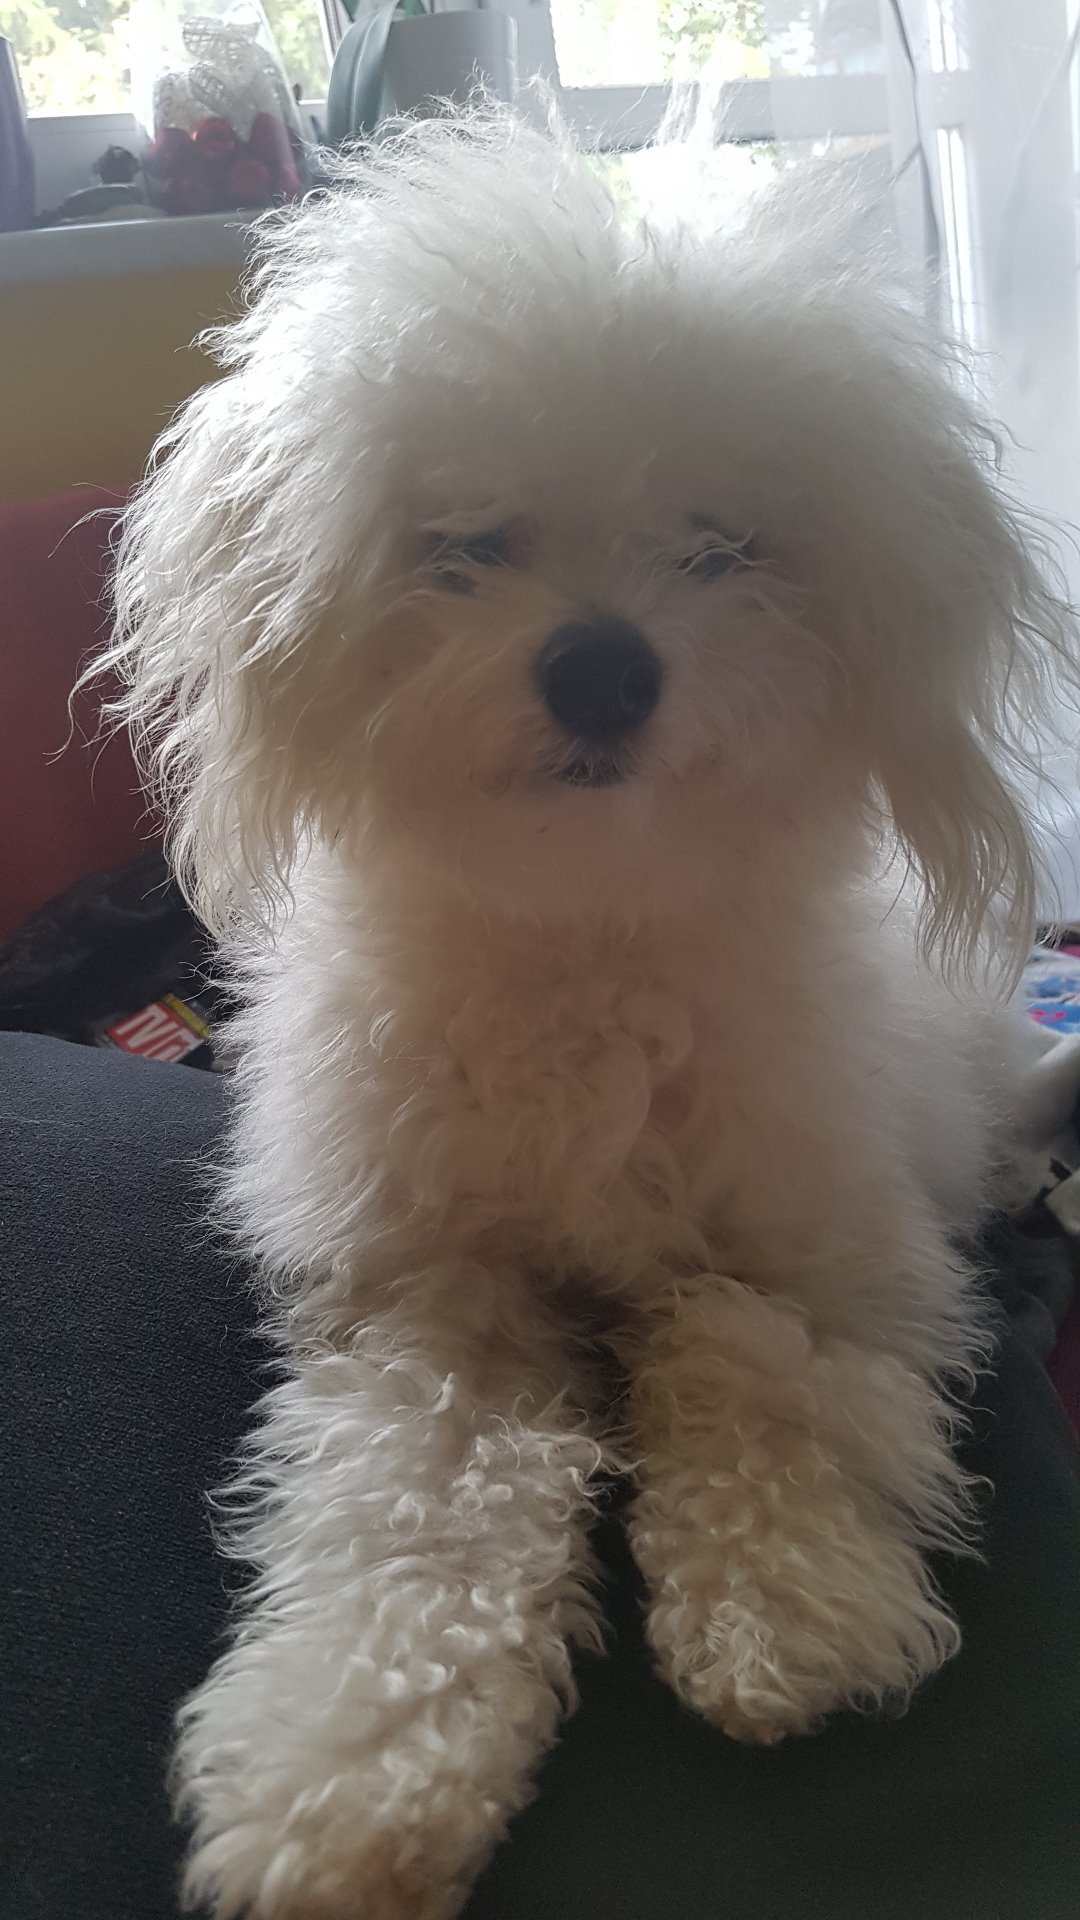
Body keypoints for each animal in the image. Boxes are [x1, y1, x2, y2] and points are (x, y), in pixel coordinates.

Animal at [103, 109, 1078, 1919]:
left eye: (722, 545)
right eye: (468, 542)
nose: (604, 668)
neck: (589, 930)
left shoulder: (812, 1250)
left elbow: (759, 1372)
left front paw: (783, 1613)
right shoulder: (433, 1302)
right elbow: (416, 1510)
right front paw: (343, 1773)